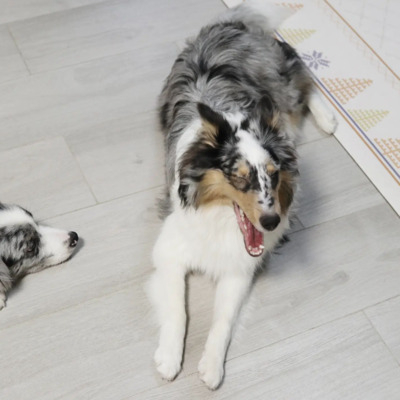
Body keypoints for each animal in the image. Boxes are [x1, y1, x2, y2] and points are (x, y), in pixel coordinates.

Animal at [148, 0, 336, 388]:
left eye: (274, 175)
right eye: (239, 178)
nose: (271, 222)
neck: (219, 218)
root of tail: (233, 22)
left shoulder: (239, 268)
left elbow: (222, 321)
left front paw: (211, 366)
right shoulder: (169, 250)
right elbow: (177, 309)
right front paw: (170, 359)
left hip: (281, 84)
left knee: (305, 87)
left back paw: (328, 120)